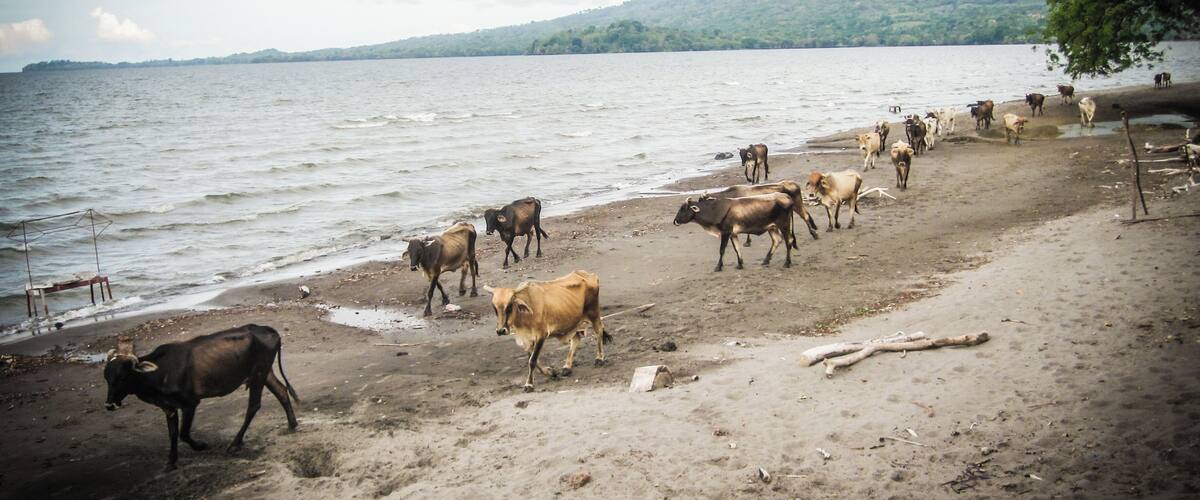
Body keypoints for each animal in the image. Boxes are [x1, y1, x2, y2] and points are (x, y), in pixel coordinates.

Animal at [102, 325, 300, 469]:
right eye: (107, 377)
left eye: (122, 377)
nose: (109, 405)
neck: (159, 373)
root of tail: (268, 329)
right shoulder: (169, 408)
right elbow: (172, 434)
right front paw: (171, 462)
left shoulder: (190, 403)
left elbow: (183, 433)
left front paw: (201, 446)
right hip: (264, 372)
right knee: (282, 391)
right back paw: (292, 424)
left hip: (259, 373)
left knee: (254, 405)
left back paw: (235, 444)